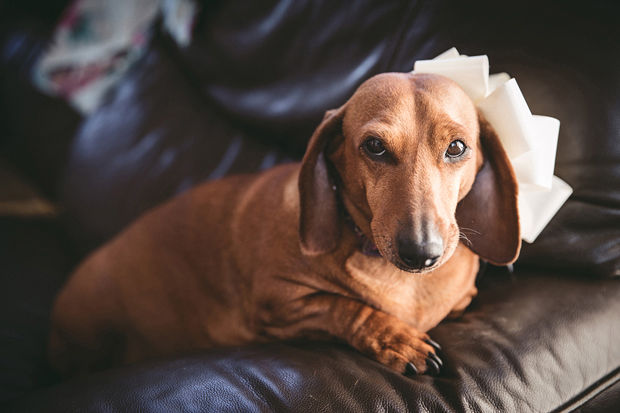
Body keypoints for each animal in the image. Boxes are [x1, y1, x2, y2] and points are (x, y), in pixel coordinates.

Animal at [50, 71, 520, 376]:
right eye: (374, 147)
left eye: (457, 147)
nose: (421, 253)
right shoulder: (279, 304)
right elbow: (345, 307)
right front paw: (395, 339)